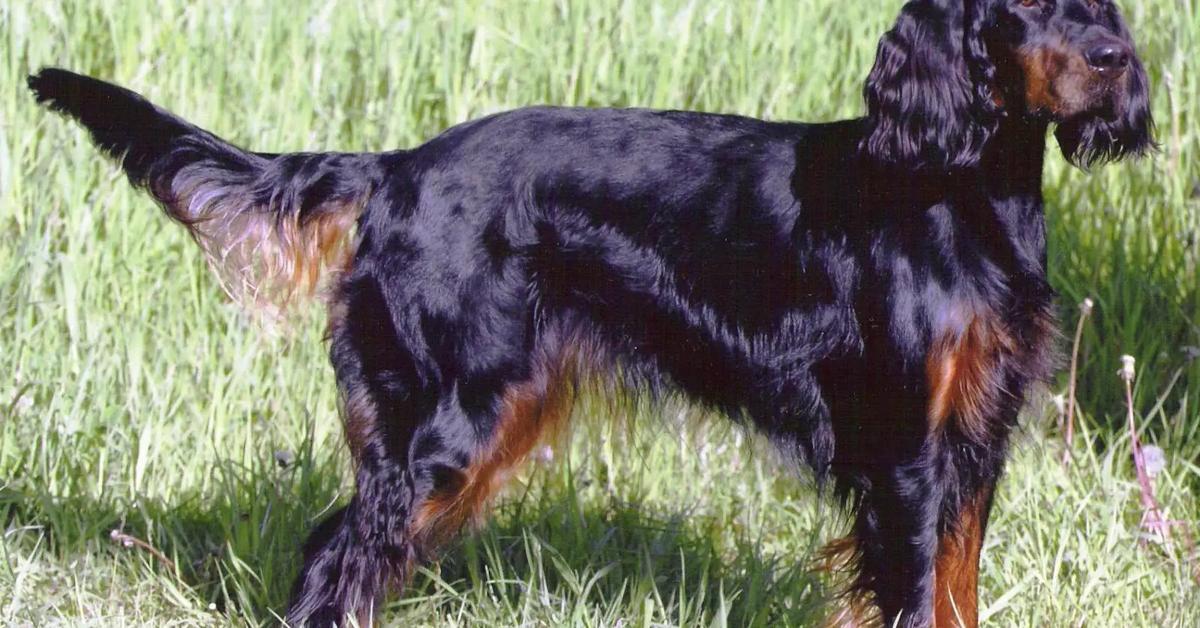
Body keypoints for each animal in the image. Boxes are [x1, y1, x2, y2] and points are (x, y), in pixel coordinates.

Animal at [28, 1, 1152, 624]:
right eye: (1021, 4)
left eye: (1099, 1)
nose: (1111, 61)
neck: (960, 184)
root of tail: (395, 170)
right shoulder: (906, 451)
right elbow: (920, 593)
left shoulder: (972, 442)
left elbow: (956, 588)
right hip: (451, 421)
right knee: (334, 563)